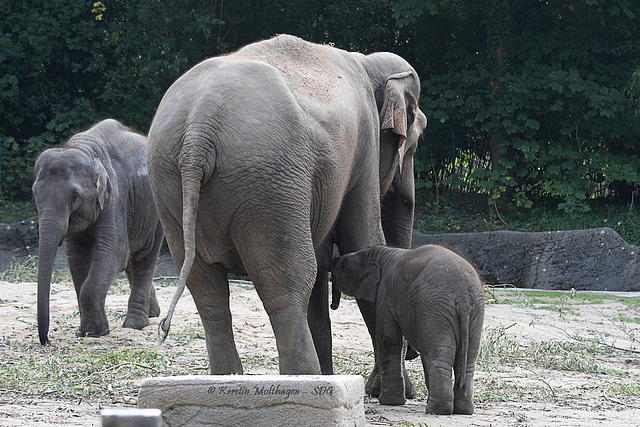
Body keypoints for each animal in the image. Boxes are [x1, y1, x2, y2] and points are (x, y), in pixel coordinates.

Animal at [32, 118, 164, 346]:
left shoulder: (115, 194)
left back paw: (136, 324)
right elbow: (77, 257)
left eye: (74, 197)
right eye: (34, 194)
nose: (45, 340)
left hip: (156, 212)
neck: (84, 150)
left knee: (144, 257)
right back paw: (153, 313)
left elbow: (115, 251)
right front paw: (85, 331)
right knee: (133, 259)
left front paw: (94, 332)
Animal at [145, 34, 424, 374]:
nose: (411, 353)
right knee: (287, 282)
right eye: (413, 143)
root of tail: (200, 126)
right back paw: (305, 380)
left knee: (206, 288)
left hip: (170, 185)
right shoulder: (364, 144)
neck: (365, 60)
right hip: (269, 183)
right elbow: (363, 240)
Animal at [330, 246, 484, 416]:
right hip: (474, 312)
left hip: (435, 310)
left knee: (439, 357)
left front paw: (389, 402)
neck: (382, 254)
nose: (332, 260)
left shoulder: (385, 295)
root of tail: (463, 298)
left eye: (343, 266)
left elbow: (388, 339)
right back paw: (463, 410)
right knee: (466, 361)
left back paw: (436, 410)